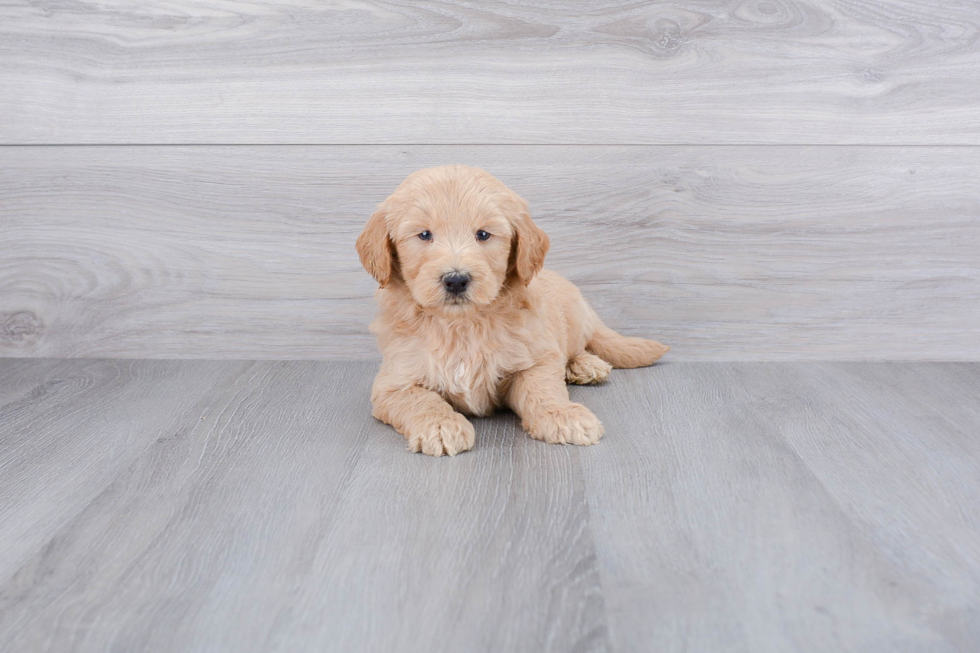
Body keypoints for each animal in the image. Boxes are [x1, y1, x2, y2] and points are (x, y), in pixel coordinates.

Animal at [356, 166, 668, 456]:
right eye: (424, 235)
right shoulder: (392, 384)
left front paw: (562, 414)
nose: (456, 279)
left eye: (483, 234)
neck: (462, 325)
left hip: (574, 319)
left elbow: (542, 388)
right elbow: (422, 400)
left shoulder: (535, 357)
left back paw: (586, 365)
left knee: (580, 346)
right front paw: (441, 426)